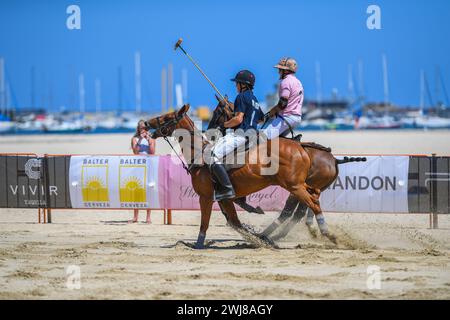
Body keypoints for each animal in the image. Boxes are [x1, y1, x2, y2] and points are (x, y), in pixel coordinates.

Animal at [148, 105, 366, 250]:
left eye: (166, 117)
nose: (146, 124)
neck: (200, 154)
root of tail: (302, 149)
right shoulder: (225, 198)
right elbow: (234, 222)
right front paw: (257, 238)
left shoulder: (206, 197)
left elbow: (206, 222)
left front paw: (198, 244)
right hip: (300, 185)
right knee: (308, 202)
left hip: (294, 186)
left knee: (307, 205)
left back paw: (328, 235)